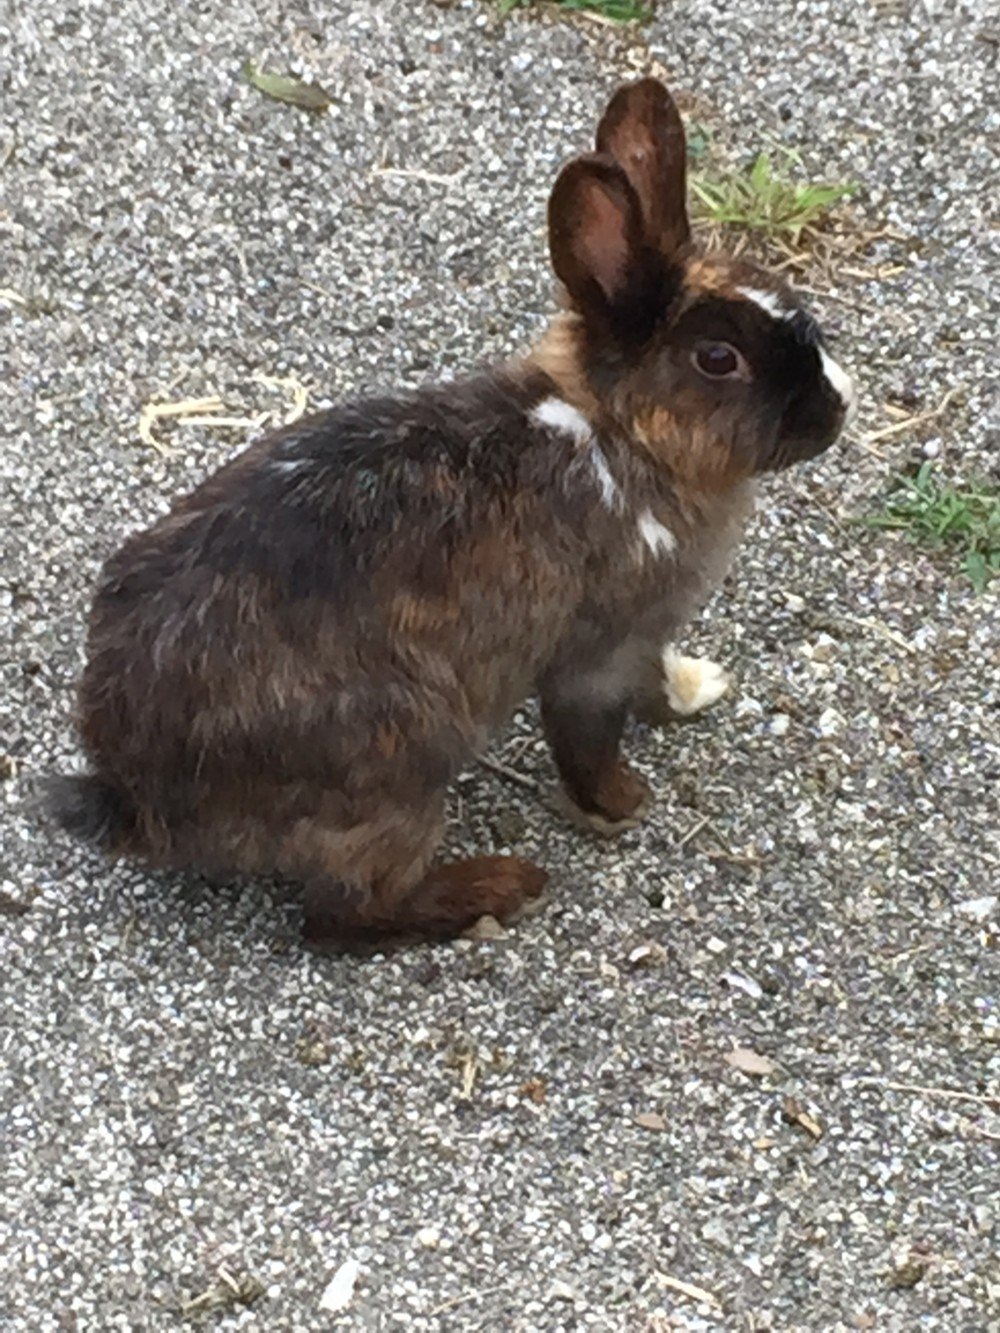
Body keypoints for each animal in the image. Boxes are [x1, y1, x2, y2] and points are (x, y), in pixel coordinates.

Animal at [49, 78, 855, 951]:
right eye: (718, 360)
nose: (837, 406)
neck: (618, 437)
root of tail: (137, 794)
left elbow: (652, 685)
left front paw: (694, 687)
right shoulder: (598, 649)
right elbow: (588, 733)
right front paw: (623, 804)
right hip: (400, 766)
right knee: (342, 916)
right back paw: (500, 887)